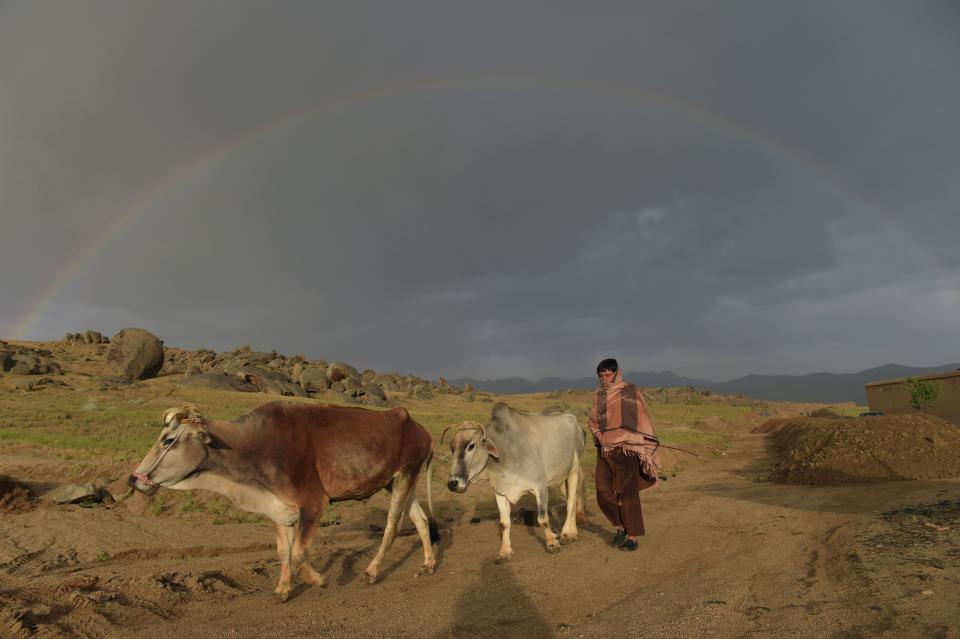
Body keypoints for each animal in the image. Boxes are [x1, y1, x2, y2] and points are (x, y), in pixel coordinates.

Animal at [127, 400, 438, 600]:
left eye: (168, 440)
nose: (133, 479)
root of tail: (421, 429)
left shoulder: (314, 503)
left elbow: (299, 551)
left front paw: (319, 579)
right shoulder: (278, 509)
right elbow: (283, 551)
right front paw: (283, 588)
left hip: (405, 475)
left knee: (392, 526)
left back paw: (372, 571)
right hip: (397, 482)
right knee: (421, 520)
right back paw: (428, 564)